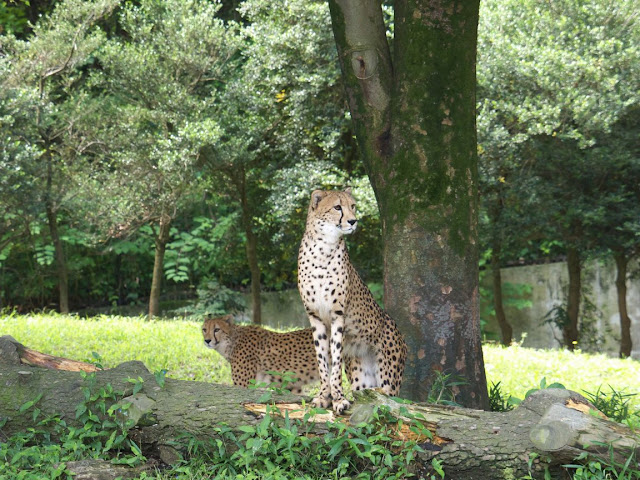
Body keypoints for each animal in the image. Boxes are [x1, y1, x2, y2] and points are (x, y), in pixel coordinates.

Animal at [298, 188, 408, 412]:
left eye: (353, 206)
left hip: (389, 381)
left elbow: (335, 361)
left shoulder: (337, 316)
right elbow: (323, 361)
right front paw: (324, 396)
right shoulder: (316, 318)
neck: (322, 248)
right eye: (337, 207)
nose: (353, 221)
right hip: (363, 381)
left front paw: (338, 399)